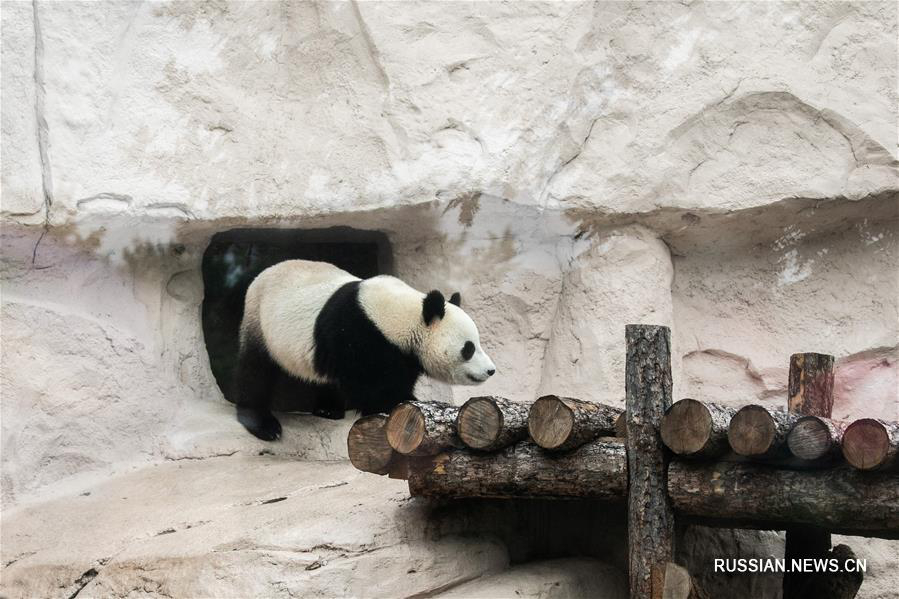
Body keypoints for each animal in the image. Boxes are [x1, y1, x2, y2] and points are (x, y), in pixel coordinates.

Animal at [236, 258, 496, 440]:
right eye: (469, 348)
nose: (491, 371)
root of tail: (261, 275)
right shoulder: (361, 335)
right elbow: (372, 386)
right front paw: (404, 401)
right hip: (262, 323)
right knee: (255, 370)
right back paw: (264, 425)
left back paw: (328, 409)